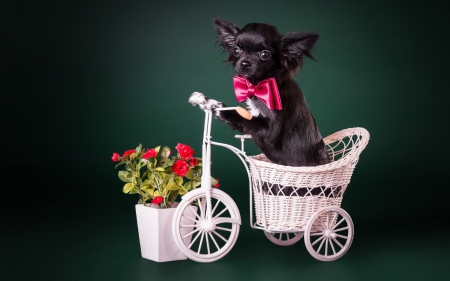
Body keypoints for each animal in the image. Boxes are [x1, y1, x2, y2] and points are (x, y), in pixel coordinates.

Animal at [189, 17, 330, 166]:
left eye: (265, 54)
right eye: (236, 50)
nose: (244, 63)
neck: (259, 85)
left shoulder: (269, 132)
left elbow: (240, 117)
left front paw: (214, 104)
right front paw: (203, 99)